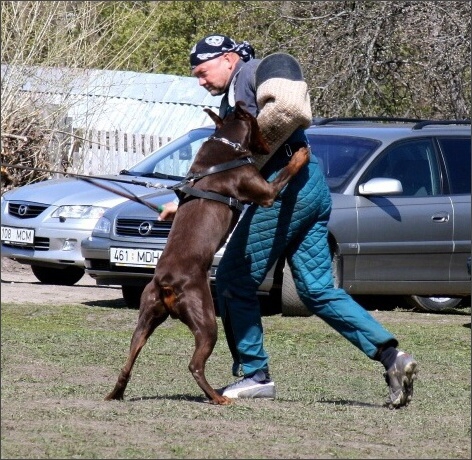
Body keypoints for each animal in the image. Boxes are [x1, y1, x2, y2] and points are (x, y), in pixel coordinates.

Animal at [105, 101, 310, 406]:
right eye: (257, 122)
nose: (267, 145)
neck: (225, 142)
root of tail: (167, 283)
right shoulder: (265, 192)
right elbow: (285, 173)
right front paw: (300, 155)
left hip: (146, 317)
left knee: (129, 358)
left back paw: (115, 393)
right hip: (206, 320)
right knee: (195, 365)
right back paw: (217, 397)